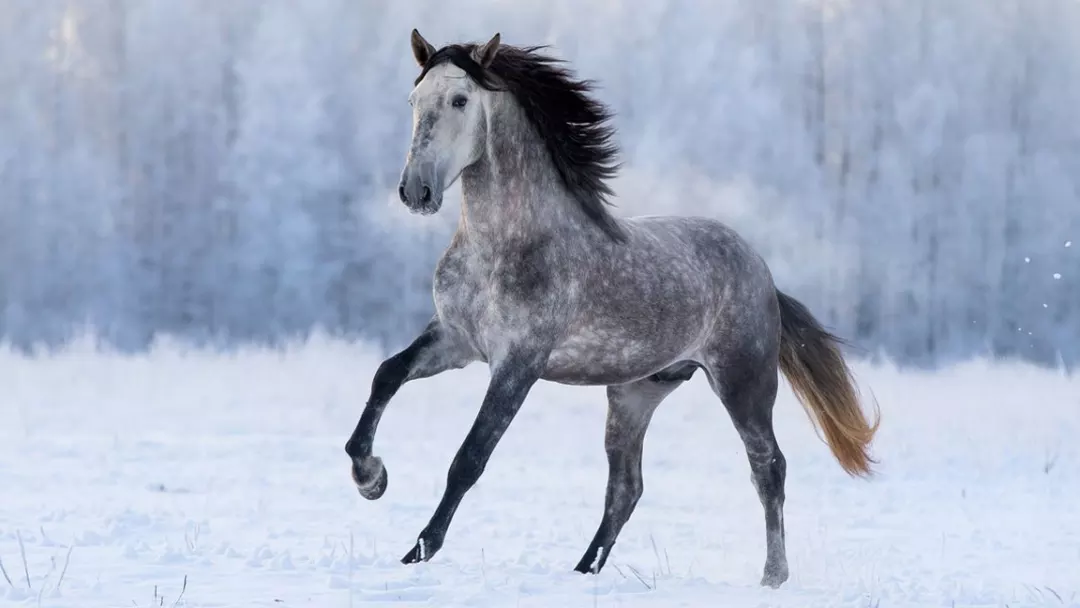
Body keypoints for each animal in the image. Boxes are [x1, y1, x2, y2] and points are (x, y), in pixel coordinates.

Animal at [341, 29, 881, 591]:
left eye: (460, 100)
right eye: (413, 101)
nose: (416, 190)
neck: (506, 246)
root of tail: (764, 274)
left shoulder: (518, 364)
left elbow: (469, 458)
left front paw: (418, 552)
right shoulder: (455, 339)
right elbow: (386, 375)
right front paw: (371, 477)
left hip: (743, 383)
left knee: (767, 468)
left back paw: (773, 577)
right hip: (634, 394)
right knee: (626, 488)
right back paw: (585, 570)